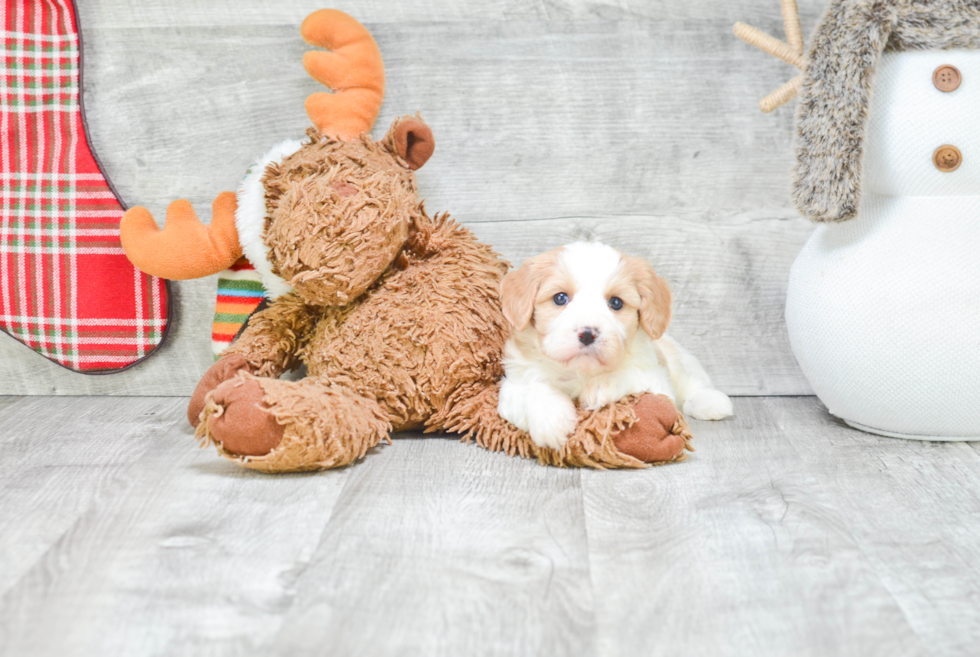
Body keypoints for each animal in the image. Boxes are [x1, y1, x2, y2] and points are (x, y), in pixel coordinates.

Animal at [498, 241, 736, 452]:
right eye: (560, 298)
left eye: (616, 303)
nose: (587, 334)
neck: (581, 371)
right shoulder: (512, 386)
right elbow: (533, 389)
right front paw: (551, 420)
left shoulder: (657, 381)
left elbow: (631, 374)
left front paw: (600, 387)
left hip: (680, 362)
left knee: (691, 384)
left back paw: (712, 402)